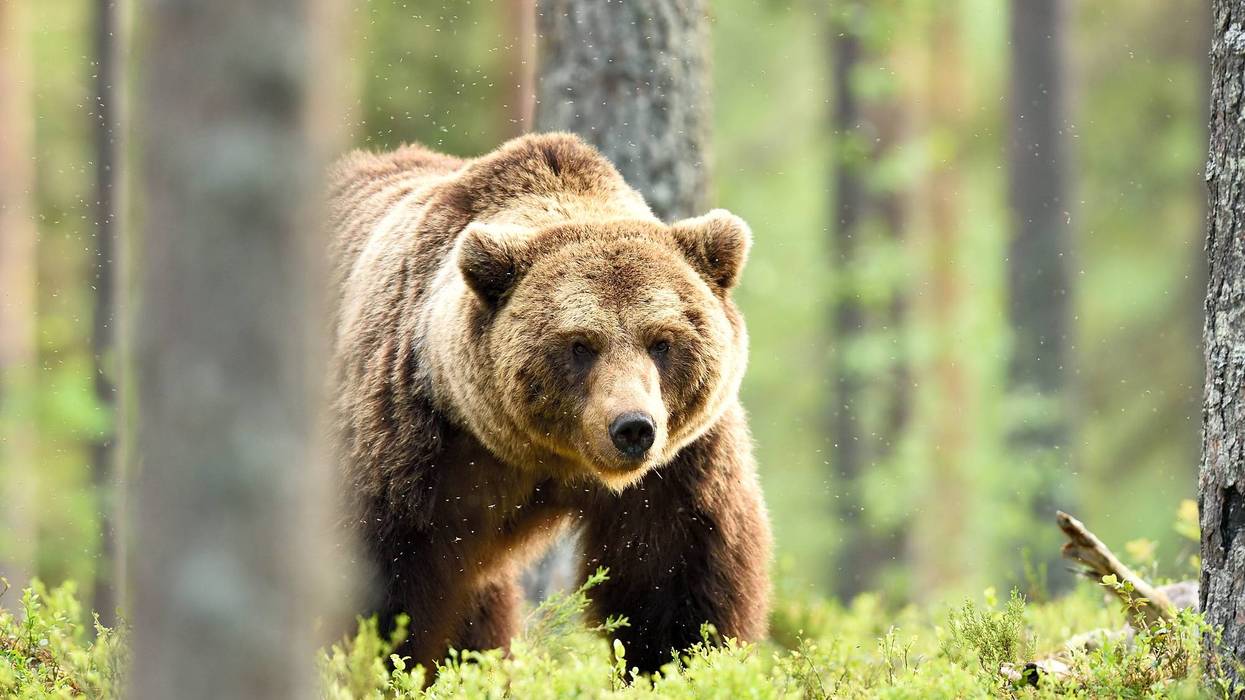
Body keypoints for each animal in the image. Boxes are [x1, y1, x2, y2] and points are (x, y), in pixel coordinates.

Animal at [327, 132, 771, 675]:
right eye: (580, 344)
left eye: (662, 341)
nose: (633, 427)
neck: (546, 458)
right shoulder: (410, 442)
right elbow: (384, 593)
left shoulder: (678, 466)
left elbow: (675, 582)